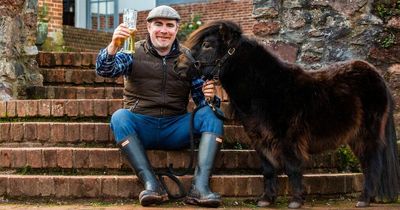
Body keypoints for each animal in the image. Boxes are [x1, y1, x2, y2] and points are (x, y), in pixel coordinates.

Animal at [176, 20, 400, 208]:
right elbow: (268, 169)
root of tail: (376, 75)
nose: (178, 67)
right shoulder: (259, 139)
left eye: (207, 45)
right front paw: (266, 199)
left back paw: (364, 199)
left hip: (367, 134)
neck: (265, 88)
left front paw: (296, 200)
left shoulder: (288, 139)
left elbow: (292, 168)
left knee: (372, 164)